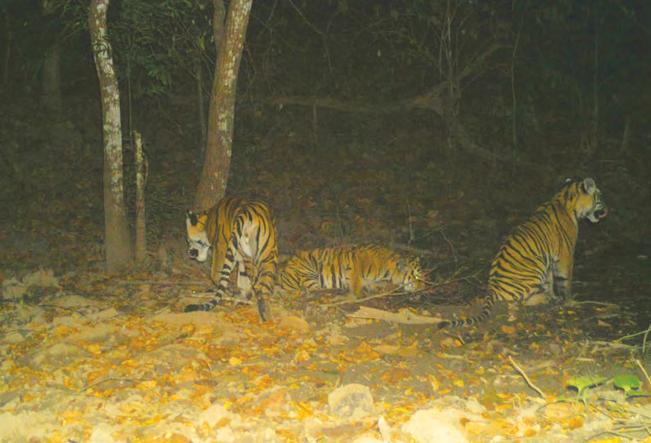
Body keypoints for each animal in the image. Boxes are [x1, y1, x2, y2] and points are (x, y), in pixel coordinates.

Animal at [280, 244, 425, 297]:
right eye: (416, 277)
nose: (422, 288)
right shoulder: (355, 267)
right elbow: (356, 285)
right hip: (310, 269)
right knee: (315, 289)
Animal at [438, 177, 607, 329]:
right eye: (600, 197)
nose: (607, 210)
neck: (565, 199)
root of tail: (492, 288)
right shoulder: (566, 256)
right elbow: (565, 280)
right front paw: (570, 301)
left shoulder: (550, 259)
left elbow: (550, 281)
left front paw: (555, 295)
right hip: (535, 267)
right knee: (522, 302)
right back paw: (546, 298)